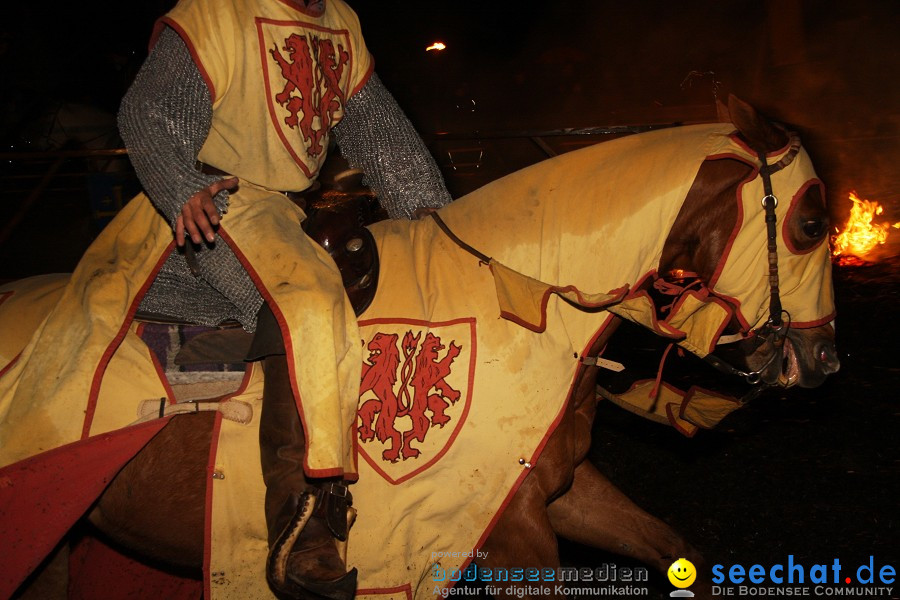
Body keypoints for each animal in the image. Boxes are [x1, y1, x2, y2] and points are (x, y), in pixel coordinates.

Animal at [1, 96, 836, 596]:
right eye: (811, 222)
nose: (823, 362)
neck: (522, 306)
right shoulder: (510, 537)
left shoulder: (552, 492)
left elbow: (665, 542)